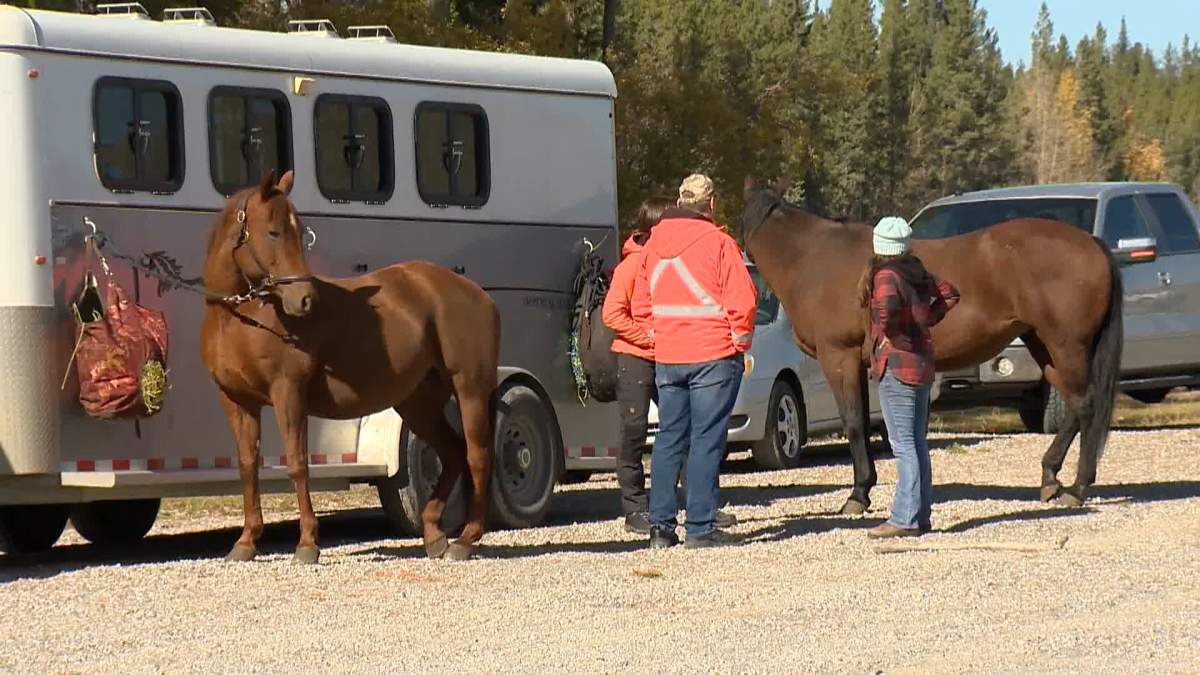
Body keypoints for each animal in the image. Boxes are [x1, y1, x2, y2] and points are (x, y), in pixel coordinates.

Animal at [200, 170, 501, 563]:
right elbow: (248, 465)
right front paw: (246, 542)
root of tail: (476, 293)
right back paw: (434, 534)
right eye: (274, 232)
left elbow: (297, 463)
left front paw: (307, 544)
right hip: (418, 402)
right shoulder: (237, 401)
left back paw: (465, 540)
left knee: (478, 455)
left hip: (470, 388)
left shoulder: (288, 393)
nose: (304, 300)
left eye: (300, 232)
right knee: (452, 452)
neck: (241, 319)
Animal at [739, 177, 1123, 515]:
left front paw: (857, 495)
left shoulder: (839, 356)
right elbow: (863, 419)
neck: (811, 258)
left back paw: (1077, 488)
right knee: (1075, 408)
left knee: (1085, 406)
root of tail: (1091, 242)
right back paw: (1051, 478)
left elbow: (853, 423)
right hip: (1044, 345)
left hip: (1066, 345)